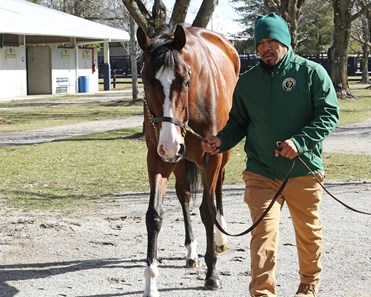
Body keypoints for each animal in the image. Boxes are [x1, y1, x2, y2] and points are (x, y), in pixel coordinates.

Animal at [137, 24, 241, 294]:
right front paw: (151, 282)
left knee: (218, 188)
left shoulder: (211, 157)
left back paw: (220, 238)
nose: (172, 144)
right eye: (146, 81)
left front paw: (212, 273)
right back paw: (191, 252)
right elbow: (154, 215)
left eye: (185, 81)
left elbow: (207, 210)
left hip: (219, 156)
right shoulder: (158, 158)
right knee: (184, 195)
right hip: (179, 160)